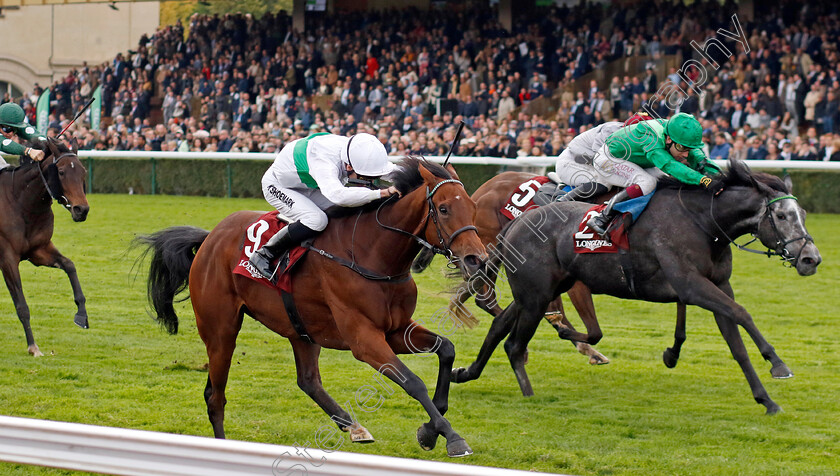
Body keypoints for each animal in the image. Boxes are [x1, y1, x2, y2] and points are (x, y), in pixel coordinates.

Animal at [0, 136, 90, 356]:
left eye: (83, 171)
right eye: (61, 172)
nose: (81, 210)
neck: (21, 202)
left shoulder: (39, 250)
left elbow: (69, 265)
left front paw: (81, 315)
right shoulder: (7, 258)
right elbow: (22, 306)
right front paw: (33, 347)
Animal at [452, 159, 820, 412]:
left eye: (802, 213)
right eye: (782, 216)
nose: (811, 259)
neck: (704, 221)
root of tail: (516, 223)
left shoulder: (715, 285)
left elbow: (736, 343)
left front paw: (766, 399)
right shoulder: (691, 285)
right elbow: (742, 313)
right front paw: (778, 365)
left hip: (539, 291)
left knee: (500, 323)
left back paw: (466, 371)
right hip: (537, 293)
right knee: (513, 341)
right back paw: (529, 388)